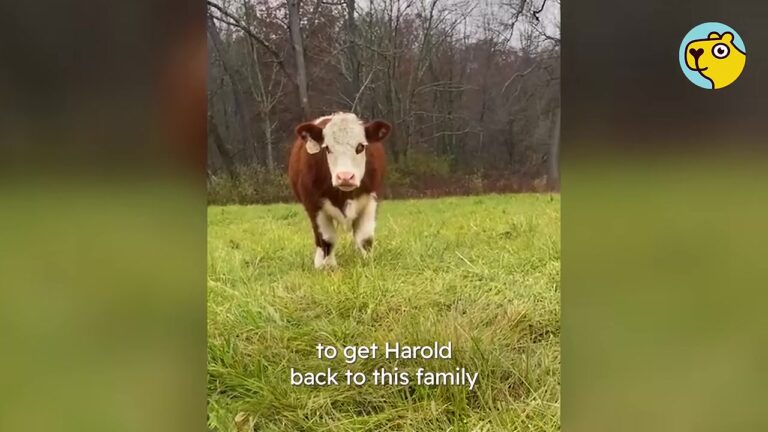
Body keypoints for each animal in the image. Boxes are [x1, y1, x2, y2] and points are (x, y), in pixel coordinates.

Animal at [288, 112, 392, 268]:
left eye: (360, 147)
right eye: (327, 148)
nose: (345, 177)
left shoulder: (372, 198)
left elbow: (365, 238)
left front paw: (367, 262)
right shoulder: (313, 205)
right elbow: (326, 240)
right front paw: (328, 266)